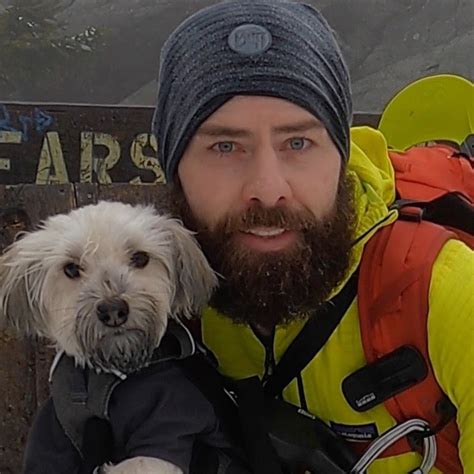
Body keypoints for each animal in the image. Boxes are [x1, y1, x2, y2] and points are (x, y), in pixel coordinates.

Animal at [0, 201, 224, 474]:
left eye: (140, 258)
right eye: (71, 268)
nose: (113, 310)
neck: (103, 376)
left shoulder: (172, 421)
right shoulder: (53, 438)